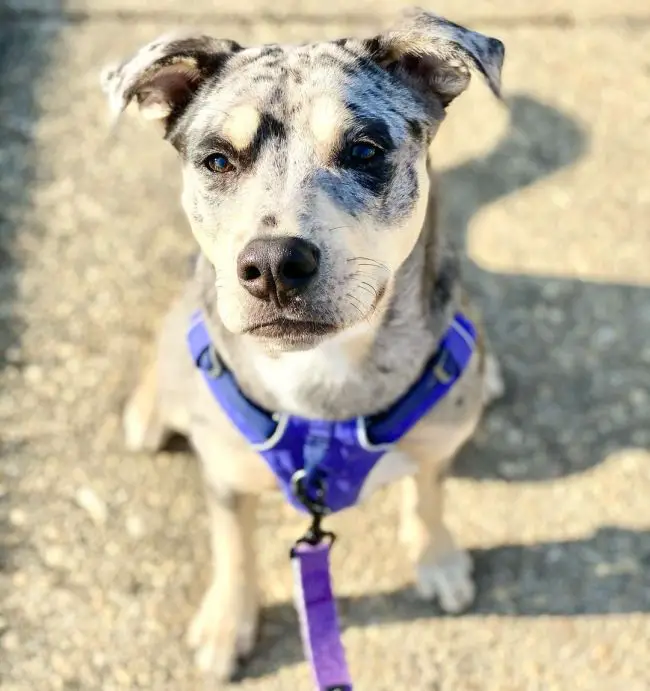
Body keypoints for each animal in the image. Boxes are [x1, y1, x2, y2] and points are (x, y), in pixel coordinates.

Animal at [101, 8, 506, 684]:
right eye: (217, 160)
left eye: (365, 150)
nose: (272, 265)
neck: (323, 377)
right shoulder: (226, 478)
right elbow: (233, 545)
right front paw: (227, 623)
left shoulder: (434, 445)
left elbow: (428, 495)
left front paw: (437, 558)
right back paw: (148, 411)